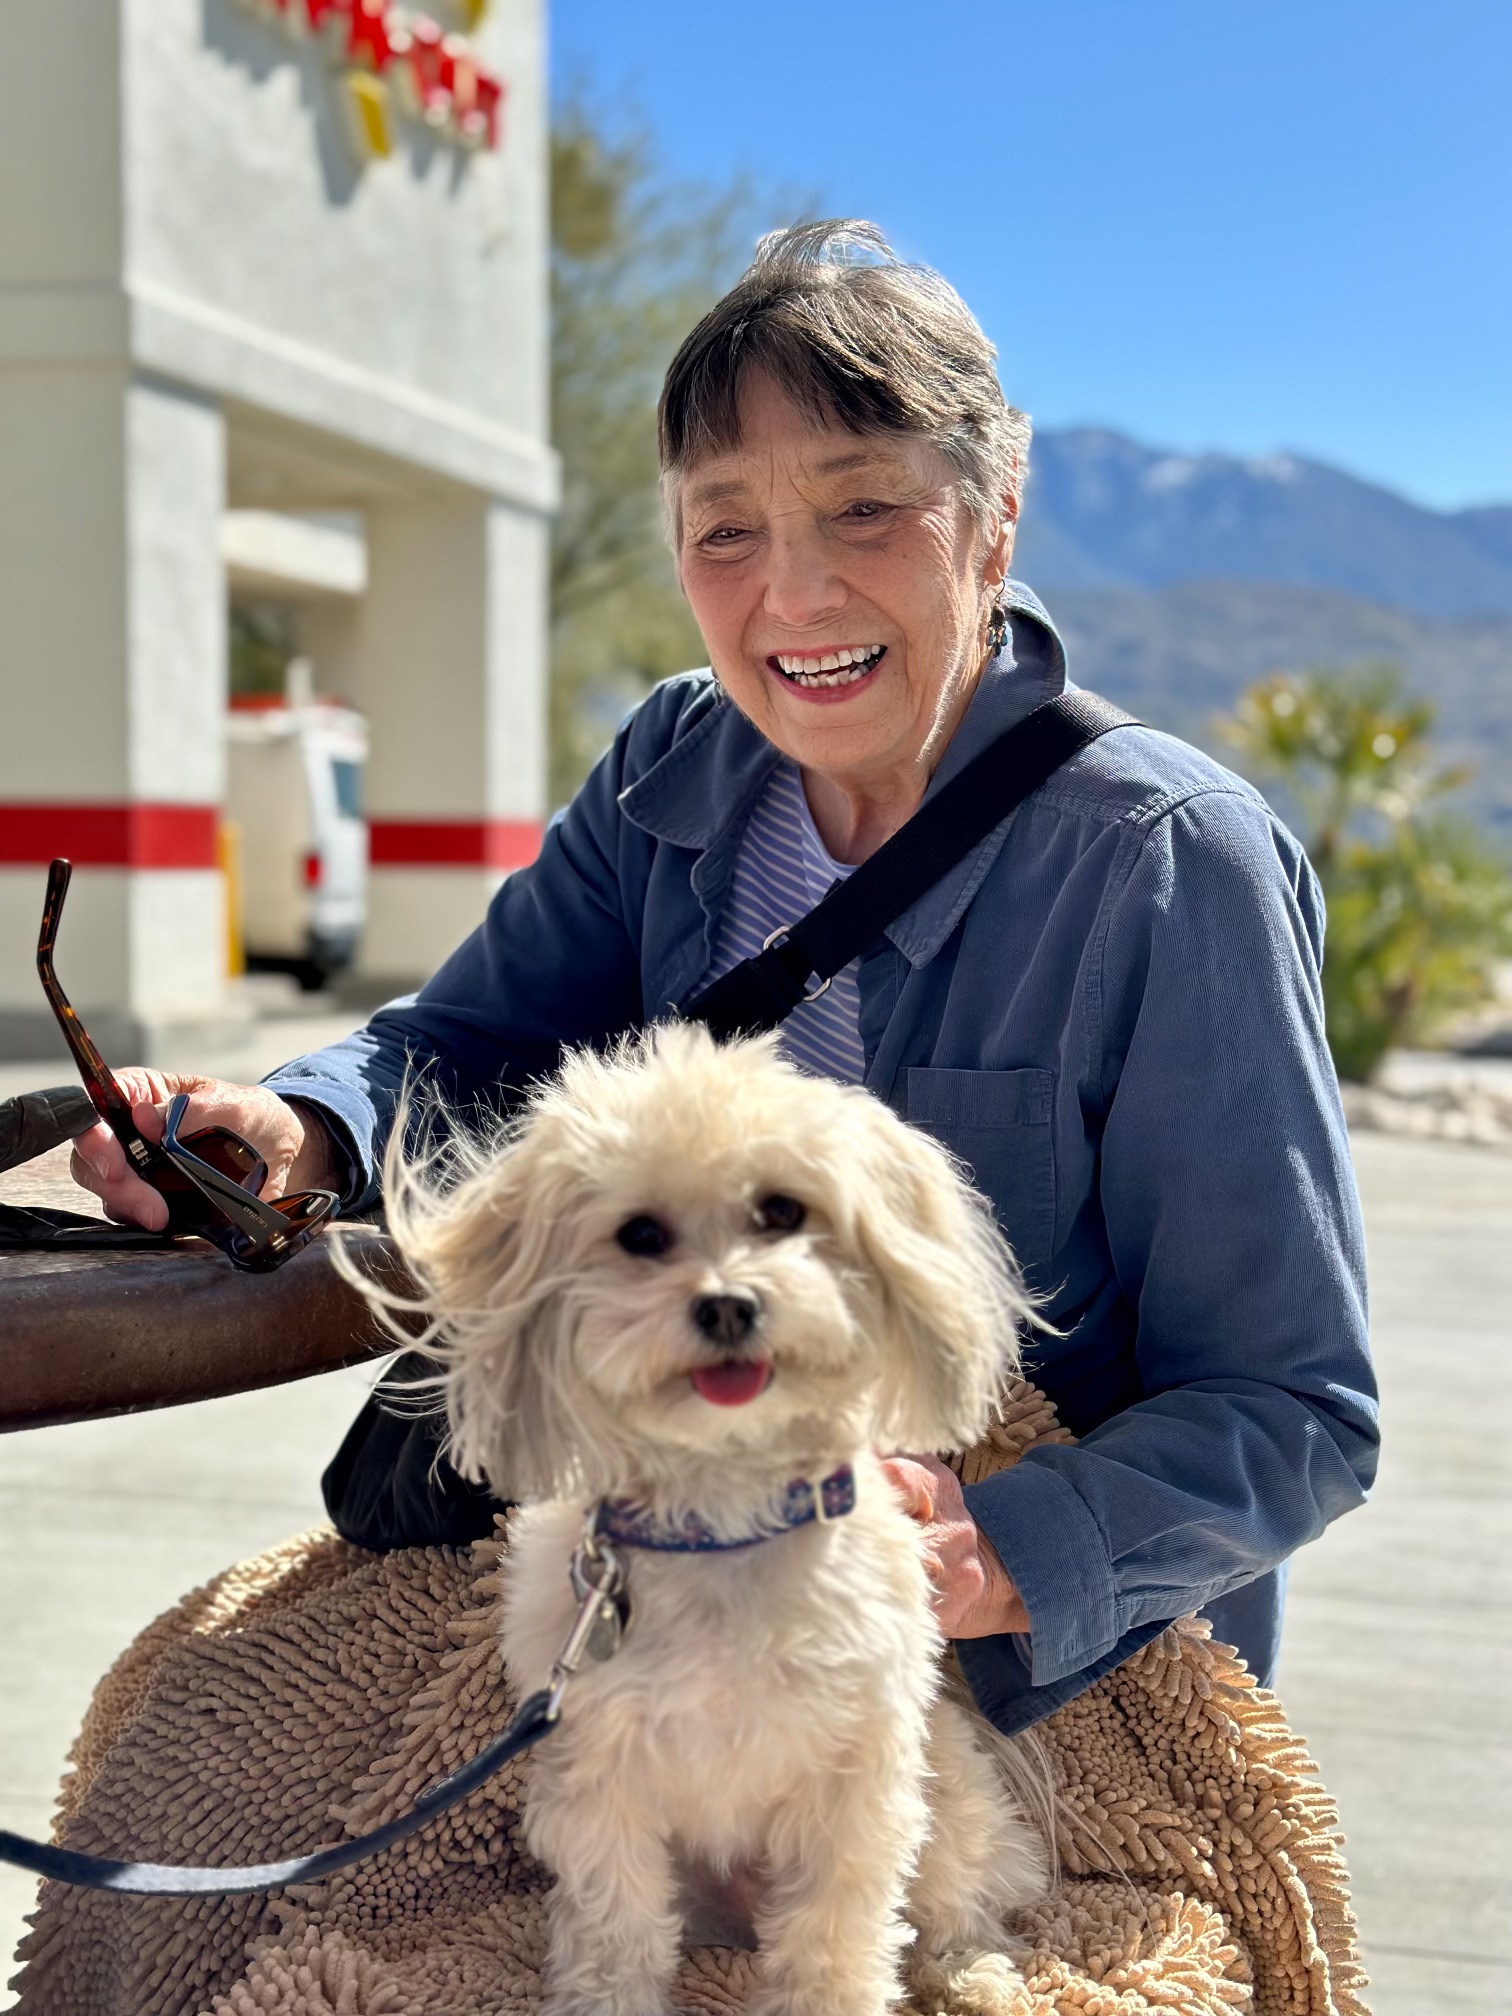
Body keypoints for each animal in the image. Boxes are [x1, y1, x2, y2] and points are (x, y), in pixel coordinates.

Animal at [366, 1032, 1056, 2007]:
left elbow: (836, 1933)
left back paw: (975, 1971)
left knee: (960, 1893)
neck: (722, 1516)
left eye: (781, 1210)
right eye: (640, 1235)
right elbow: (614, 1925)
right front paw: (606, 2005)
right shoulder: (600, 1774)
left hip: (946, 1782)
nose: (729, 1304)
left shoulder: (854, 1774)